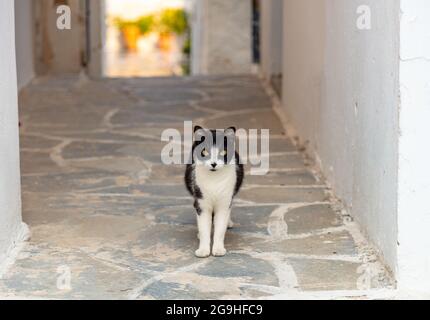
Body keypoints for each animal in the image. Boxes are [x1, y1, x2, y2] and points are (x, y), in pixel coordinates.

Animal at [184, 125, 244, 258]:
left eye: (223, 152)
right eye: (205, 151)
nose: (213, 163)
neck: (214, 181)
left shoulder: (224, 203)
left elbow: (220, 228)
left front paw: (218, 249)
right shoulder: (201, 202)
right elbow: (204, 228)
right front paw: (203, 250)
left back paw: (229, 222)